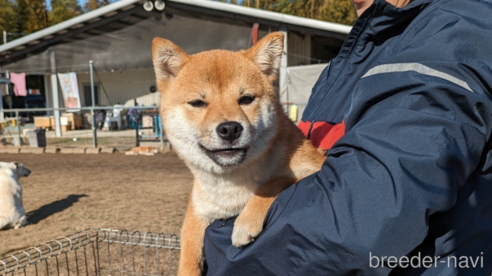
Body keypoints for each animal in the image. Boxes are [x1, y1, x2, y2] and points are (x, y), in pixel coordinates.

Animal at [152, 33, 324, 276]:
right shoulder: (198, 210)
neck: (230, 183)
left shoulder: (315, 167)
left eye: (246, 99)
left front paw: (245, 222)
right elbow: (188, 253)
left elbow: (274, 182)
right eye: (198, 103)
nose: (230, 128)